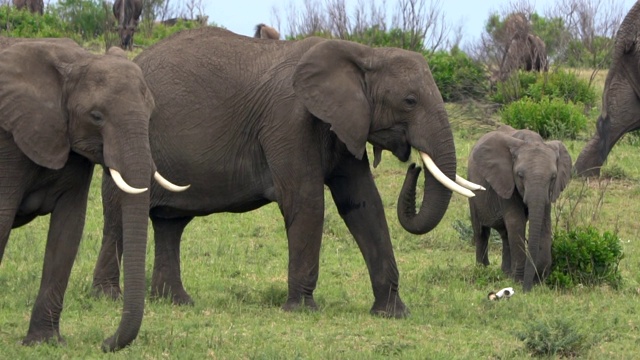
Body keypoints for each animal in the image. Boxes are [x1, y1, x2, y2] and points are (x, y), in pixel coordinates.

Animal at [0, 39, 188, 352]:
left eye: (150, 113)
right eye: (96, 117)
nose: (105, 342)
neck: (73, 63)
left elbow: (68, 230)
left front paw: (43, 342)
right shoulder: (7, 142)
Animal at [91, 26, 480, 318]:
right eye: (410, 101)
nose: (414, 164)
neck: (364, 53)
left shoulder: (344, 124)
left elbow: (363, 204)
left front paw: (393, 313)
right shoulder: (289, 121)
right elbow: (306, 201)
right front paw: (303, 310)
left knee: (171, 224)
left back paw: (177, 302)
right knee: (120, 216)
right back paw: (108, 298)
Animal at [468, 125, 572, 292]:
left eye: (553, 177)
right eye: (520, 175)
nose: (526, 290)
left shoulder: (548, 194)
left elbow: (544, 224)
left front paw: (538, 280)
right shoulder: (506, 180)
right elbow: (516, 222)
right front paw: (519, 281)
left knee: (505, 235)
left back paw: (505, 273)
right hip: (472, 186)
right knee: (481, 231)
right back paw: (482, 269)